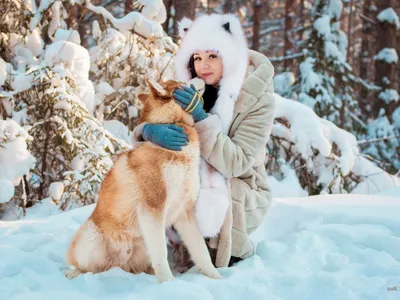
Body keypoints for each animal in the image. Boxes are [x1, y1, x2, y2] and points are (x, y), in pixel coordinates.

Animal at [65, 78, 222, 282]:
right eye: (182, 82)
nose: (200, 79)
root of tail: (120, 264)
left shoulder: (185, 212)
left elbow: (201, 252)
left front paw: (217, 278)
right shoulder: (152, 210)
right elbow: (162, 254)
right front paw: (169, 284)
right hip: (92, 239)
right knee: (88, 268)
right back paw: (74, 273)